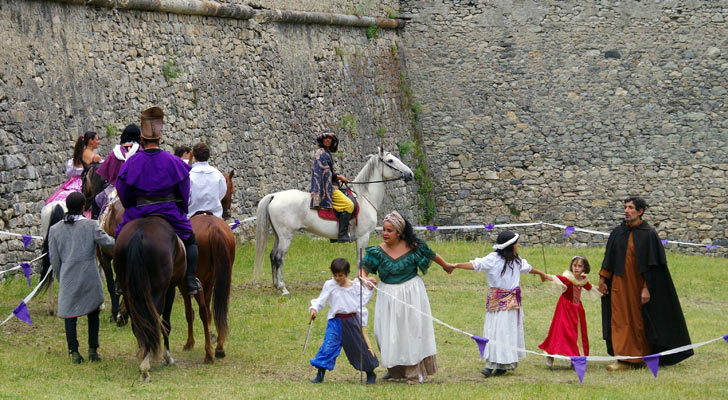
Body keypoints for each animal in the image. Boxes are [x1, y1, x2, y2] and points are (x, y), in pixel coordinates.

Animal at [114, 216, 186, 382]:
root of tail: (138, 235)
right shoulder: (170, 290)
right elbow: (166, 324)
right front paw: (168, 357)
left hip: (130, 290)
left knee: (138, 324)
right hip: (158, 292)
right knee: (152, 323)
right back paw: (146, 368)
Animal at [255, 148, 416, 296]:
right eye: (390, 161)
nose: (410, 174)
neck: (364, 197)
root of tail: (275, 196)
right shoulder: (363, 237)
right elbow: (360, 261)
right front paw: (360, 285)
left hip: (279, 236)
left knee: (272, 256)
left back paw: (276, 286)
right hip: (286, 236)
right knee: (278, 258)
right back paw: (283, 289)